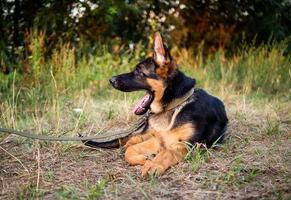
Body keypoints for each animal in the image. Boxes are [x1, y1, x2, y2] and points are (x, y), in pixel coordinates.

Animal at [85, 32, 229, 176]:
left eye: (139, 71)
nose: (111, 80)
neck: (174, 105)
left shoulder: (185, 145)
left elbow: (167, 153)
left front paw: (154, 164)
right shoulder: (158, 140)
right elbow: (130, 151)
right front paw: (144, 159)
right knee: (133, 139)